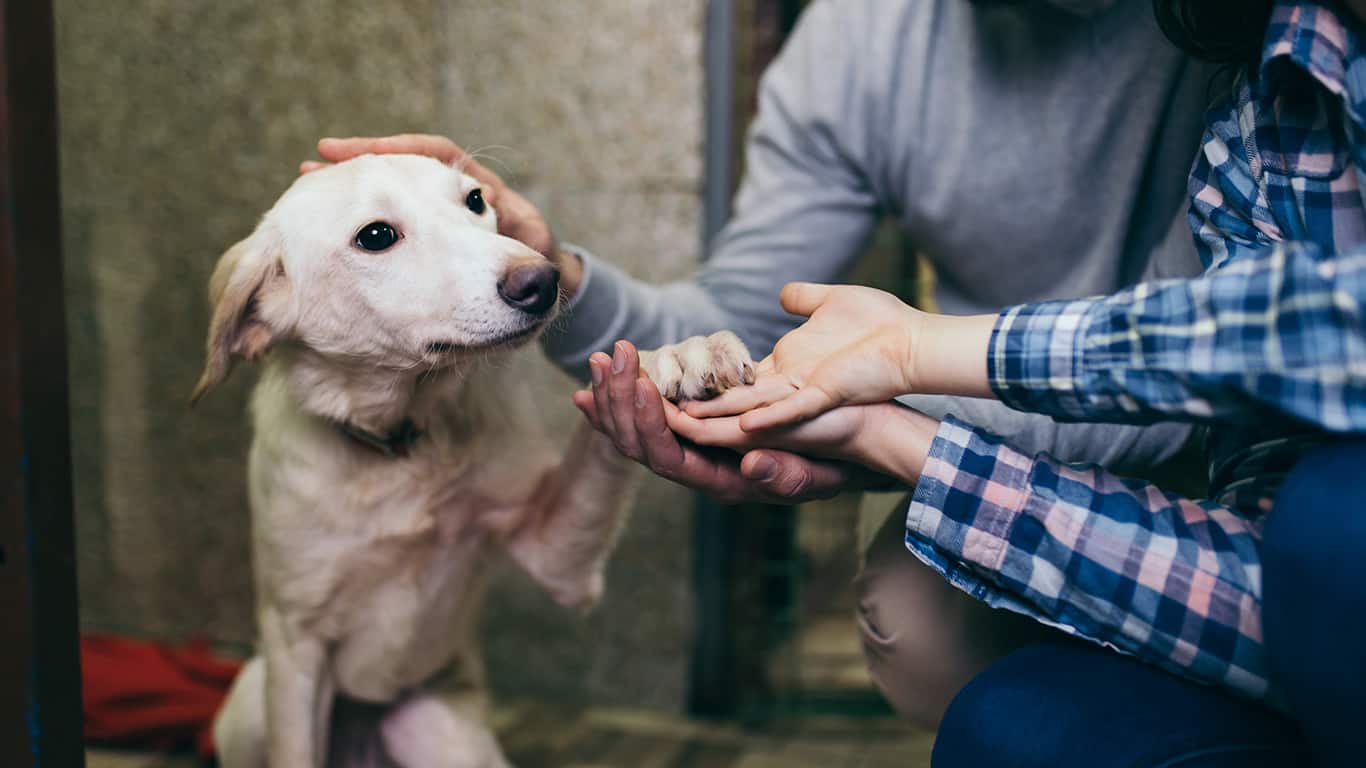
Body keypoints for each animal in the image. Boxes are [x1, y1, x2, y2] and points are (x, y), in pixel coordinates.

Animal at [199, 152, 759, 759]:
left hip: (440, 731)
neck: (402, 445)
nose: (542, 280)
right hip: (255, 700)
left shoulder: (558, 556)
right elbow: (296, 745)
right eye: (376, 236)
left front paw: (673, 357)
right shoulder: (296, 645)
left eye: (475, 200)